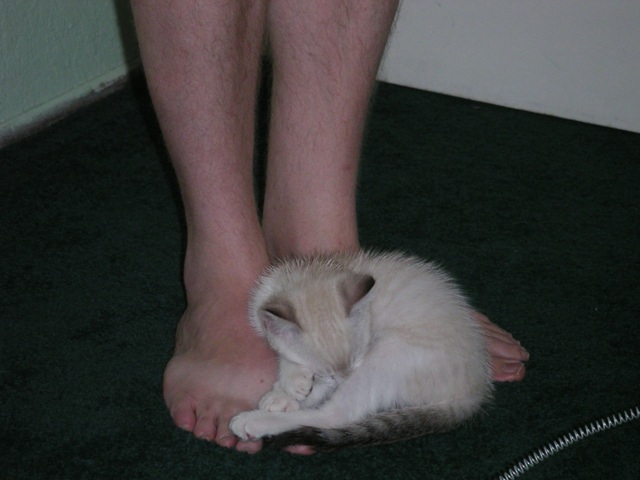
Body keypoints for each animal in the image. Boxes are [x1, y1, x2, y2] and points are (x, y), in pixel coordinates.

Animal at [230, 251, 496, 450]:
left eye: (357, 359)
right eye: (328, 372)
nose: (342, 380)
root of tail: (475, 389)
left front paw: (291, 384)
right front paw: (285, 393)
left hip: (391, 351)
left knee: (334, 416)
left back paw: (253, 422)